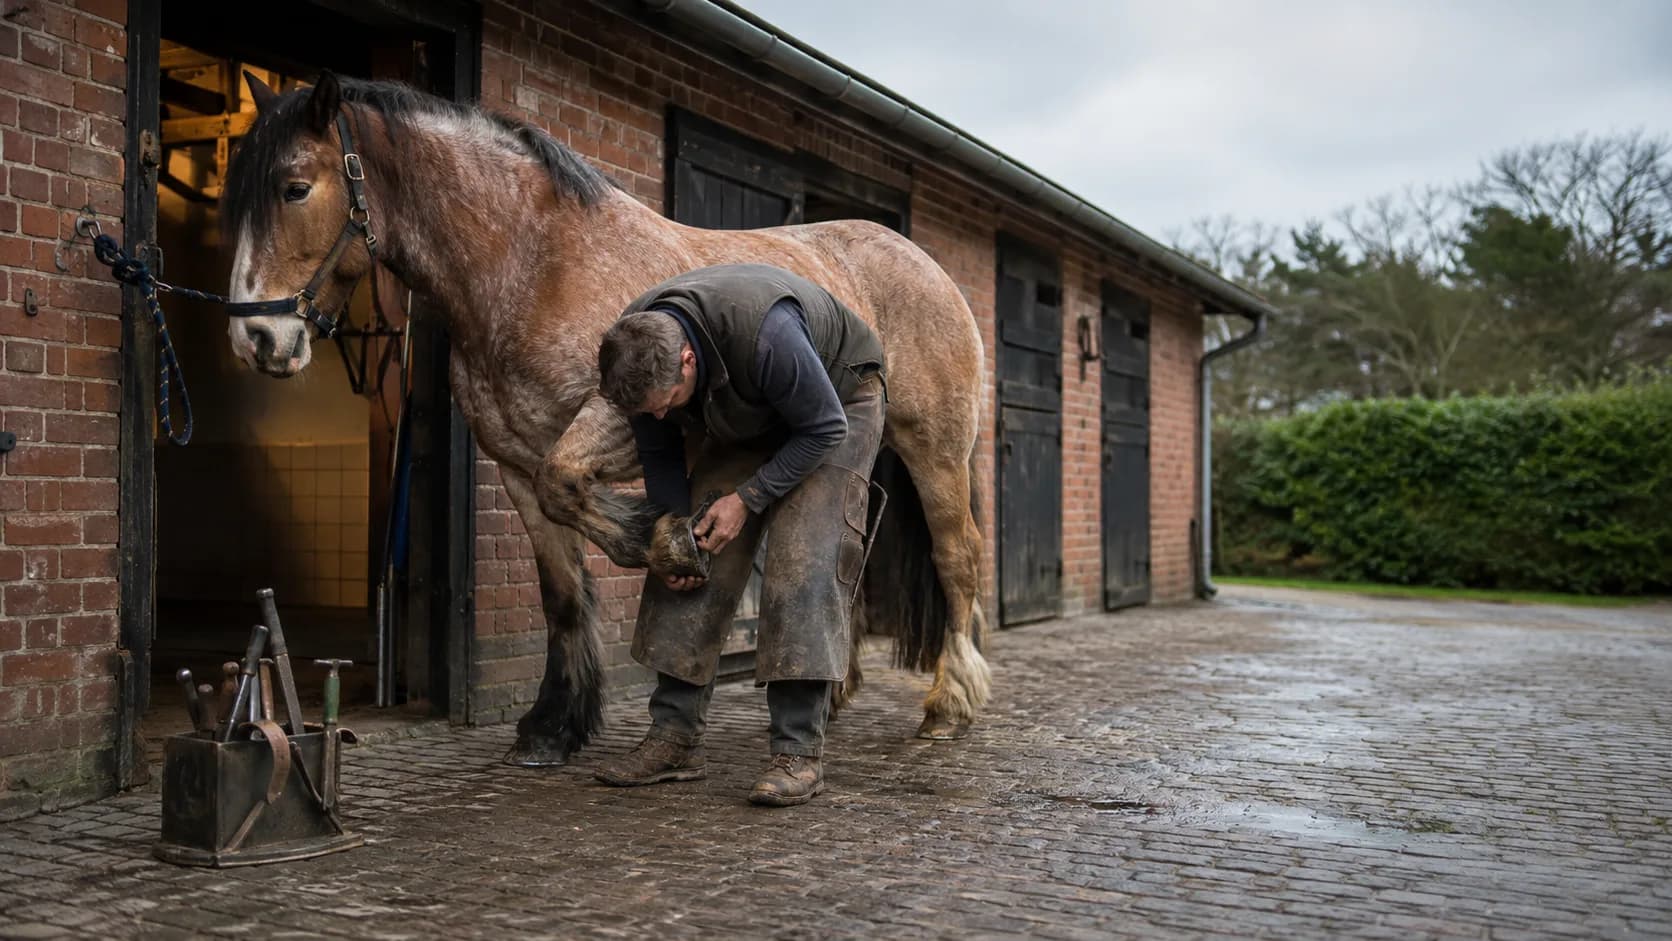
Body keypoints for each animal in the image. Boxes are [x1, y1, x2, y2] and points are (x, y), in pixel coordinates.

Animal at [219, 71, 991, 767]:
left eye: (294, 188)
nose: (255, 340)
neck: (532, 261)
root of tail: (925, 263)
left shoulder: (618, 418)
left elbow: (573, 485)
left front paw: (656, 538)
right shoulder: (516, 462)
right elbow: (562, 593)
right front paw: (553, 727)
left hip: (936, 449)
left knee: (958, 556)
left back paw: (949, 706)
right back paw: (833, 693)